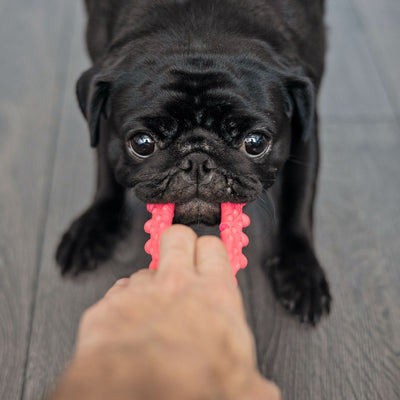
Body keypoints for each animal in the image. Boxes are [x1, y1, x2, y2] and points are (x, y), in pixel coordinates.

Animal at [56, 0, 332, 324]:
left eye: (255, 143)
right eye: (142, 143)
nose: (198, 160)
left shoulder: (305, 127)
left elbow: (298, 200)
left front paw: (300, 270)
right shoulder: (102, 122)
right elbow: (106, 174)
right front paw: (93, 227)